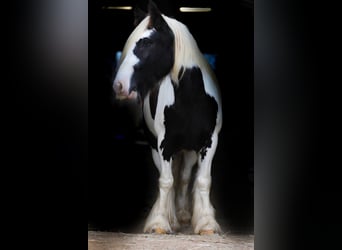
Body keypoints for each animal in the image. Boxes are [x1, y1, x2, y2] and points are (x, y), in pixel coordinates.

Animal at [113, 1, 223, 235]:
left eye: (147, 43)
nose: (118, 85)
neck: (191, 100)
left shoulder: (209, 142)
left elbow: (202, 181)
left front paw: (207, 224)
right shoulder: (165, 143)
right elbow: (165, 181)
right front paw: (159, 224)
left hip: (188, 149)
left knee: (184, 177)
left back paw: (182, 215)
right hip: (158, 145)